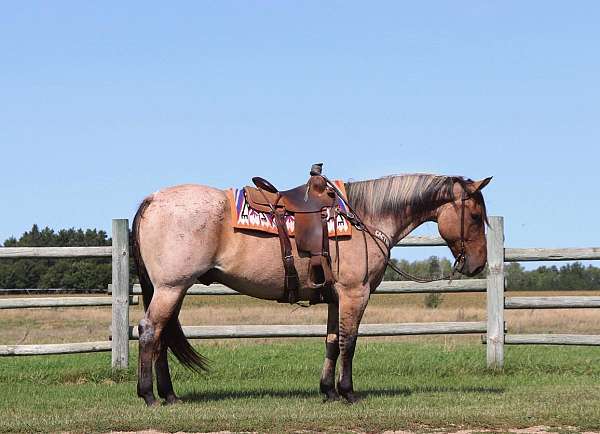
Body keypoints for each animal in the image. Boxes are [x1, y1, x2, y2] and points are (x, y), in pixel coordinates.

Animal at [131, 171, 492, 406]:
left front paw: (328, 391)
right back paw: (149, 395)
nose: (477, 264)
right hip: (171, 287)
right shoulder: (355, 292)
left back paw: (169, 395)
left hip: (172, 290)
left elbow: (332, 341)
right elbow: (349, 342)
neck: (366, 217)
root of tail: (152, 199)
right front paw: (348, 392)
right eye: (475, 215)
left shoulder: (335, 297)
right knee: (150, 332)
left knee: (162, 336)